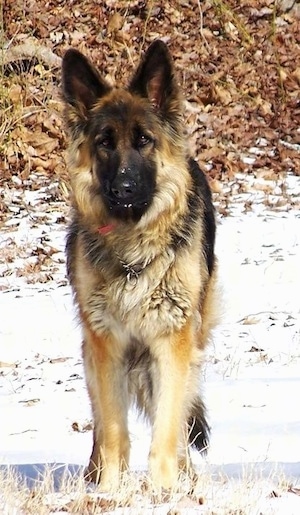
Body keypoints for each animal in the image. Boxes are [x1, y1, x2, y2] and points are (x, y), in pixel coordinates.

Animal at [61, 40, 216, 492]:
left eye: (144, 140)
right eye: (105, 143)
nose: (123, 190)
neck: (132, 248)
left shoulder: (171, 342)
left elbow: (166, 426)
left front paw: (164, 490)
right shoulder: (106, 344)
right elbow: (113, 429)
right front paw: (110, 490)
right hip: (92, 353)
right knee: (100, 422)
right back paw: (94, 475)